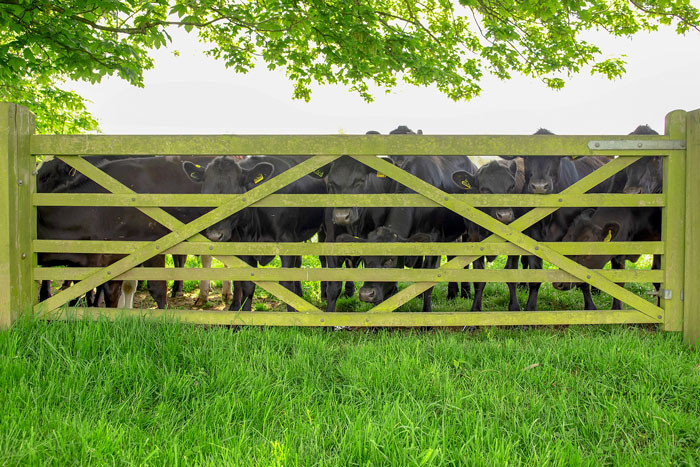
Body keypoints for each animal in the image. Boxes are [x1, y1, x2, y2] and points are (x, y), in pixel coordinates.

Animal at [183, 155, 326, 312]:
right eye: (205, 196)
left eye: (236, 196)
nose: (215, 235)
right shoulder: (245, 245)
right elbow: (248, 284)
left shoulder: (286, 240)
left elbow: (286, 283)